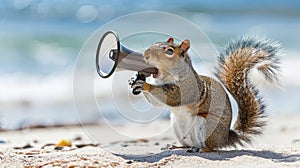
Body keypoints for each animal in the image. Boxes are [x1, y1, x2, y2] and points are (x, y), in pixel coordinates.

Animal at [129, 36, 282, 152]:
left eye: (170, 51)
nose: (146, 55)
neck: (165, 78)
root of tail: (224, 138)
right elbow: (157, 102)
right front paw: (135, 80)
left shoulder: (189, 88)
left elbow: (173, 97)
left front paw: (145, 84)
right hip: (176, 125)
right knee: (187, 144)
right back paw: (175, 146)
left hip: (207, 125)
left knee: (210, 147)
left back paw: (201, 149)